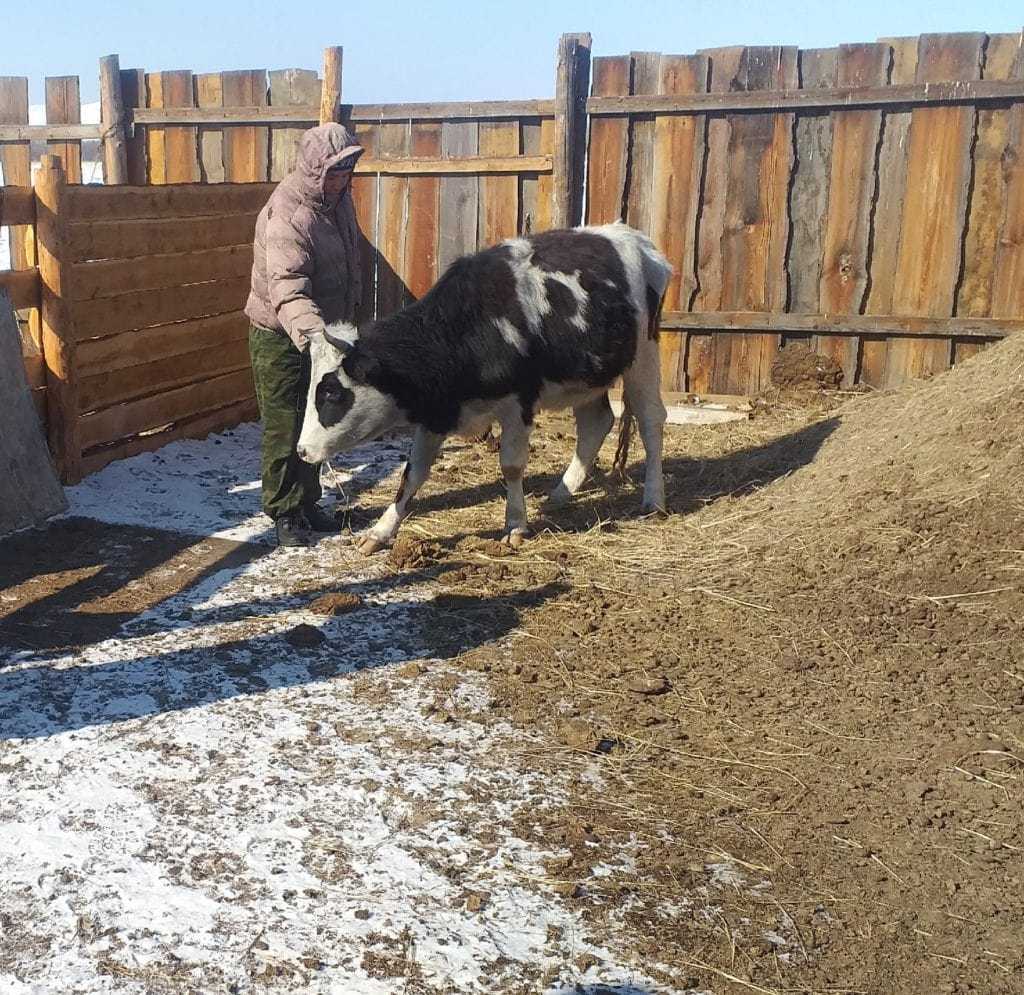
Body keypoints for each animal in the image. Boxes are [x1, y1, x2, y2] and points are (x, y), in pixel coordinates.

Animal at [296, 220, 671, 556]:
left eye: (331, 392)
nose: (302, 450)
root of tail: (627, 235)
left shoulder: (518, 403)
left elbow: (512, 466)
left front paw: (515, 524)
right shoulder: (438, 413)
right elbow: (412, 474)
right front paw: (380, 531)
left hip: (644, 356)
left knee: (651, 421)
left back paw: (654, 498)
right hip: (587, 376)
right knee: (596, 424)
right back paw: (561, 494)